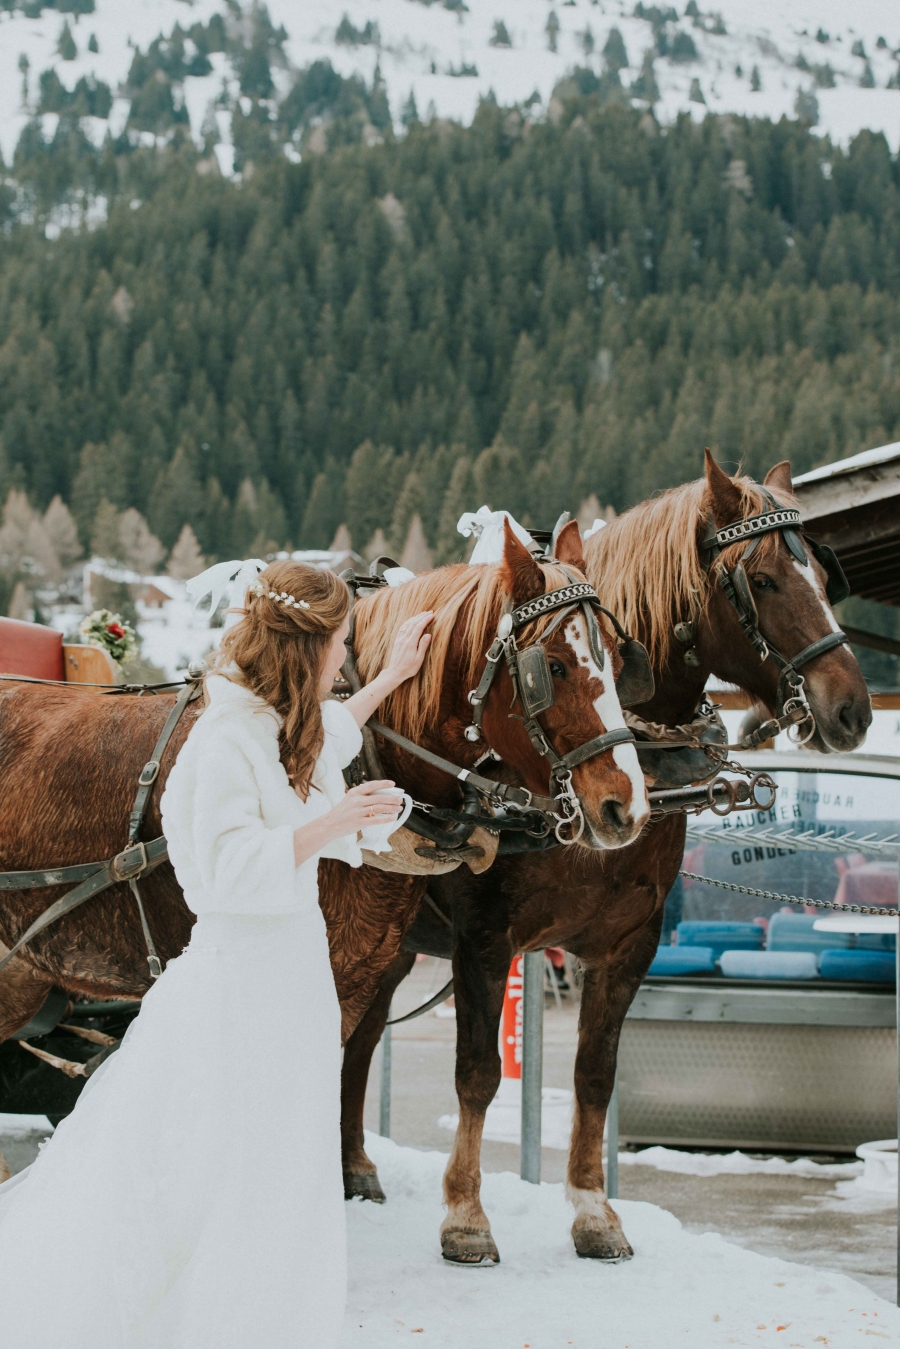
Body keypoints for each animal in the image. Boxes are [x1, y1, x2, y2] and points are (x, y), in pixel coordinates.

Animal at [337, 453, 874, 1262]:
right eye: (765, 580)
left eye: (821, 571)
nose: (853, 709)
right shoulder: (484, 940)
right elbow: (478, 1073)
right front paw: (466, 1216)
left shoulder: (628, 943)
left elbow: (595, 1073)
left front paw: (594, 1213)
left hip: (392, 938)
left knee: (360, 1033)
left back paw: (353, 1166)